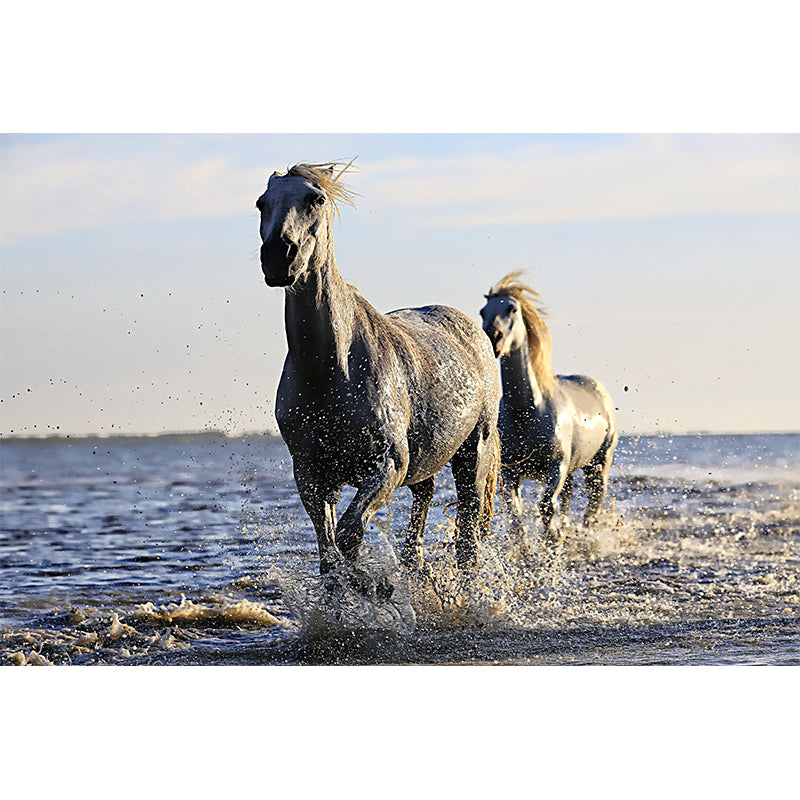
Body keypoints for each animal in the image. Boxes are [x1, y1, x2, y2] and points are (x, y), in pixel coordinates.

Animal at [256, 161, 500, 598]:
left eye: (316, 198)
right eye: (261, 203)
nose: (279, 257)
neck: (330, 371)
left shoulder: (386, 466)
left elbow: (350, 535)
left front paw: (369, 586)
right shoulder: (312, 475)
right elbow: (329, 553)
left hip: (474, 454)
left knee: (468, 537)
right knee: (423, 503)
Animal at [479, 271, 617, 544]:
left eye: (512, 309)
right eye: (482, 312)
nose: (492, 337)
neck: (527, 412)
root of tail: (599, 389)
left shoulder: (556, 468)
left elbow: (546, 507)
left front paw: (552, 538)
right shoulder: (511, 472)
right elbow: (516, 513)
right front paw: (526, 547)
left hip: (598, 463)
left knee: (595, 498)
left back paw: (585, 530)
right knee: (569, 495)